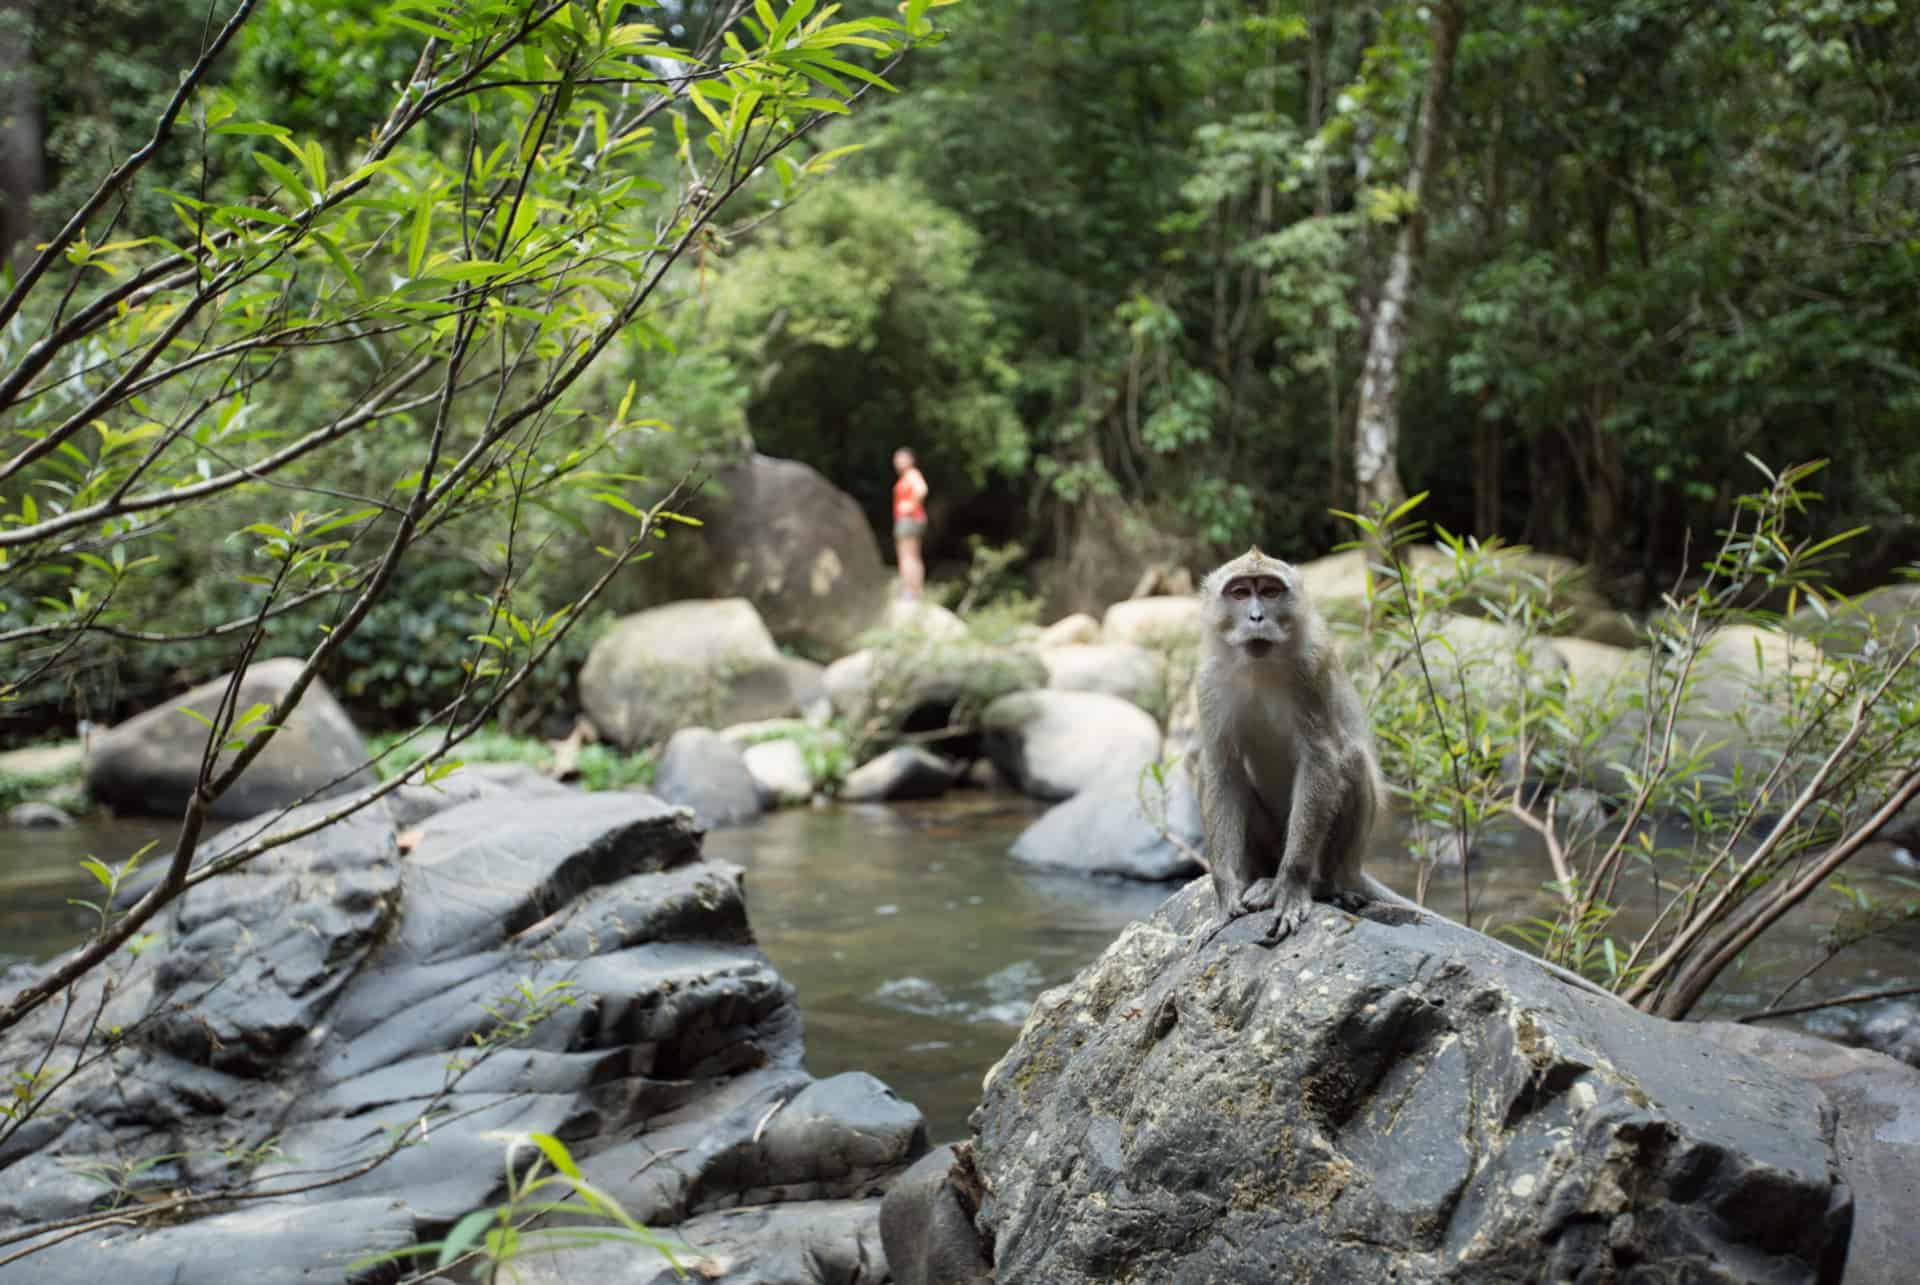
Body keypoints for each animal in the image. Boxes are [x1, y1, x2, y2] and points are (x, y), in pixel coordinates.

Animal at [1198, 545, 1620, 998]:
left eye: (1271, 591)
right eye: (1240, 592)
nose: (1257, 616)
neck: (1260, 667)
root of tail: (1353, 866)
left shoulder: (1313, 666)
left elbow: (1322, 758)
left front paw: (1291, 888)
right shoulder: (1208, 679)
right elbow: (1221, 772)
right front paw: (1227, 892)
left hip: (1339, 854)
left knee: (1350, 761)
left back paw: (1316, 885)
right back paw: (1260, 879)